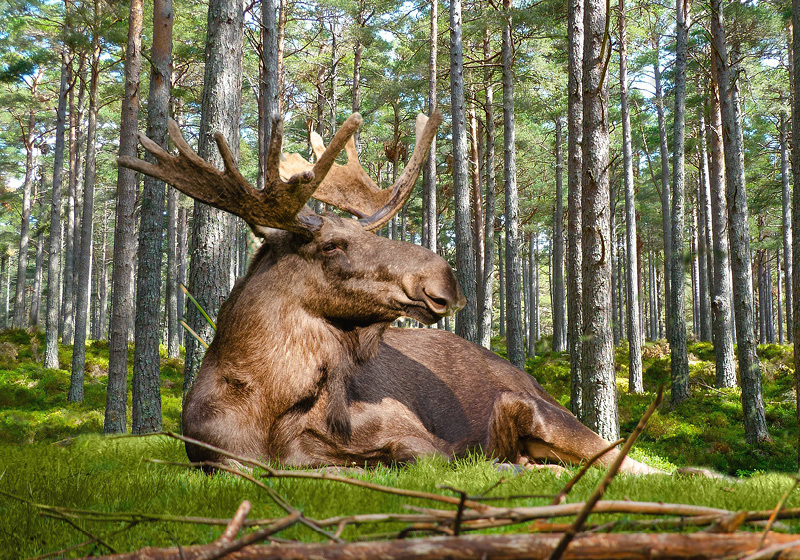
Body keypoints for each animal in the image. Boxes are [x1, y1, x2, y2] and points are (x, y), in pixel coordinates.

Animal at [117, 111, 656, 474]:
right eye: (333, 244)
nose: (445, 279)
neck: (266, 403)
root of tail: (531, 378)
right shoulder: (216, 455)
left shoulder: (414, 434)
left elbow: (408, 458)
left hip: (545, 413)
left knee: (628, 461)